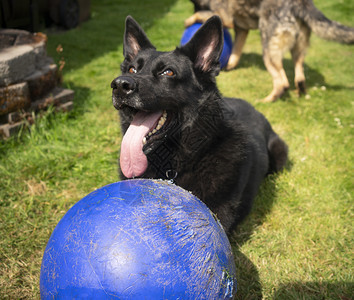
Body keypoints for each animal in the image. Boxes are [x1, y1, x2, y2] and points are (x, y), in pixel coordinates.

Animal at [185, 0, 354, 102]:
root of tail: (301, 3)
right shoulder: (241, 30)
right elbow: (236, 53)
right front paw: (230, 66)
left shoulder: (225, 18)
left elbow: (203, 15)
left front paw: (189, 20)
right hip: (297, 49)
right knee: (299, 78)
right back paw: (298, 94)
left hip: (268, 52)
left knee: (282, 83)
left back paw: (266, 101)